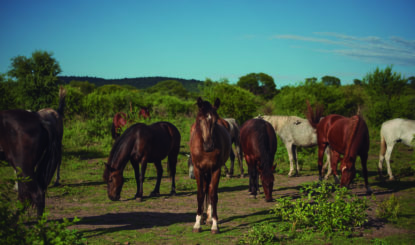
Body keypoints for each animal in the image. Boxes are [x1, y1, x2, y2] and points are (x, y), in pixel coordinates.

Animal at [190, 97, 232, 234]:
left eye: (214, 121)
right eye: (200, 120)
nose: (209, 146)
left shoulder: (215, 169)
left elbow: (213, 194)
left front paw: (214, 224)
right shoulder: (198, 169)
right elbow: (200, 194)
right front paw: (197, 224)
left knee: (209, 189)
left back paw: (208, 218)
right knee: (205, 189)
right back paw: (204, 218)